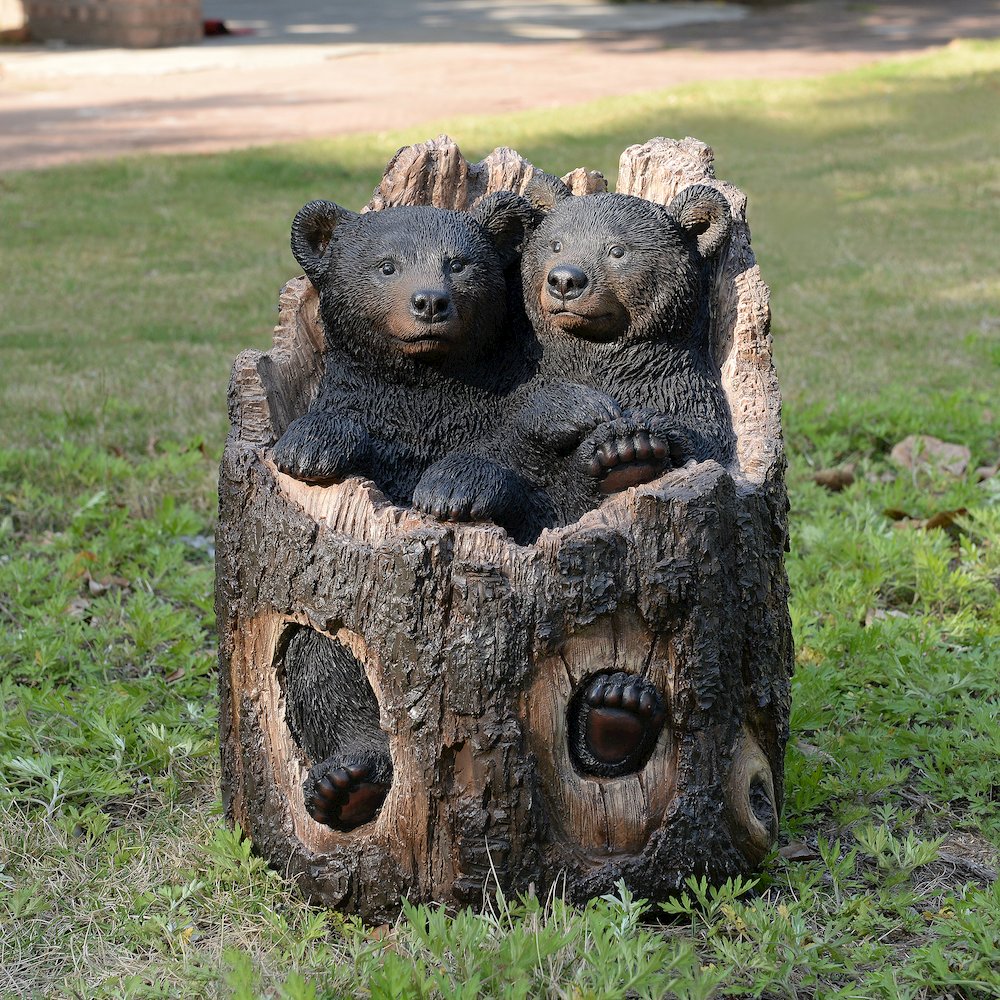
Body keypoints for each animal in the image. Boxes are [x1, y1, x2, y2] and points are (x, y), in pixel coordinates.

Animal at [275, 192, 535, 830]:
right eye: (386, 265)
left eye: (459, 263)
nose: (429, 302)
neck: (424, 387)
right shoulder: (368, 409)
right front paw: (309, 446)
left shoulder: (496, 411)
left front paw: (455, 487)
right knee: (323, 667)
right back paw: (346, 782)